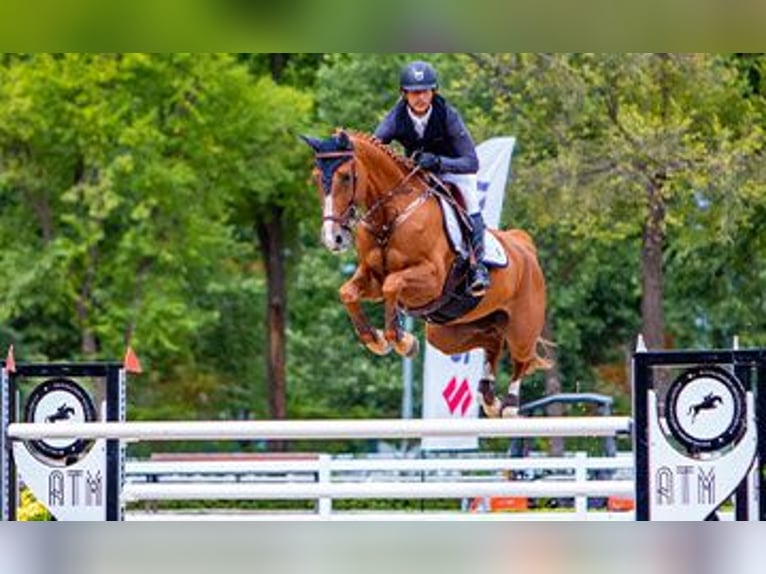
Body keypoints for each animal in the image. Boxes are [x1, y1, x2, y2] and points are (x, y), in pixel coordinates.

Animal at [302, 129, 551, 417]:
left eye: (345, 176)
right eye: (316, 177)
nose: (334, 239)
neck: (390, 217)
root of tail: (524, 246)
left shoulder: (431, 279)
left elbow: (392, 284)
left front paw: (401, 340)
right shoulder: (372, 277)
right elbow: (349, 293)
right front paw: (378, 340)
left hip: (523, 324)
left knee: (521, 357)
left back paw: (508, 405)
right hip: (448, 332)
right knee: (492, 340)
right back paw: (489, 398)